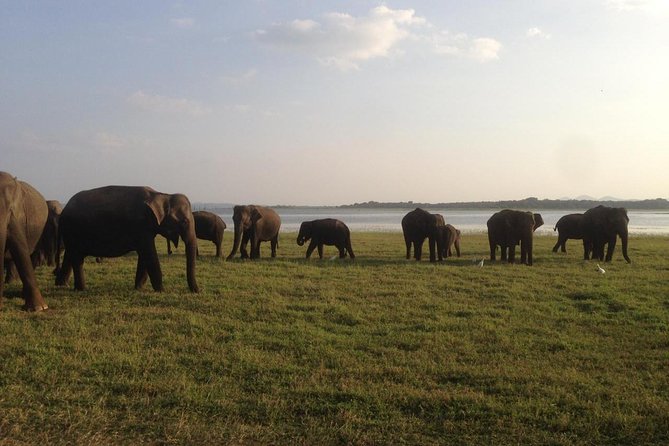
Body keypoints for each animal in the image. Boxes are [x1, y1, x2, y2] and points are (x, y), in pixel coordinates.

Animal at [55, 186, 199, 292]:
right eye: (185, 222)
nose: (197, 291)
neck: (163, 195)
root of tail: (63, 210)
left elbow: (144, 255)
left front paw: (139, 288)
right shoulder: (140, 226)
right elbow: (149, 253)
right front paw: (161, 291)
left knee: (70, 255)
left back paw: (62, 285)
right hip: (72, 230)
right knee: (76, 258)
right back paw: (80, 289)